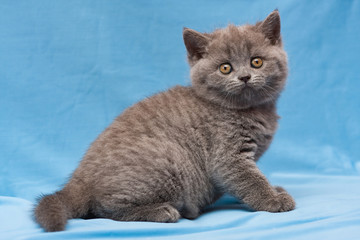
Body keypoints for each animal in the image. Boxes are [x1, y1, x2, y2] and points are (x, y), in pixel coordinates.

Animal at [34, 10, 296, 232]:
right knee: (103, 209)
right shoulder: (228, 156)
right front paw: (273, 199)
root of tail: (77, 181)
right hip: (169, 159)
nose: (244, 77)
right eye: (225, 68)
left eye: (256, 62)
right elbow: (250, 180)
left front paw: (274, 190)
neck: (248, 110)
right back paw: (163, 211)